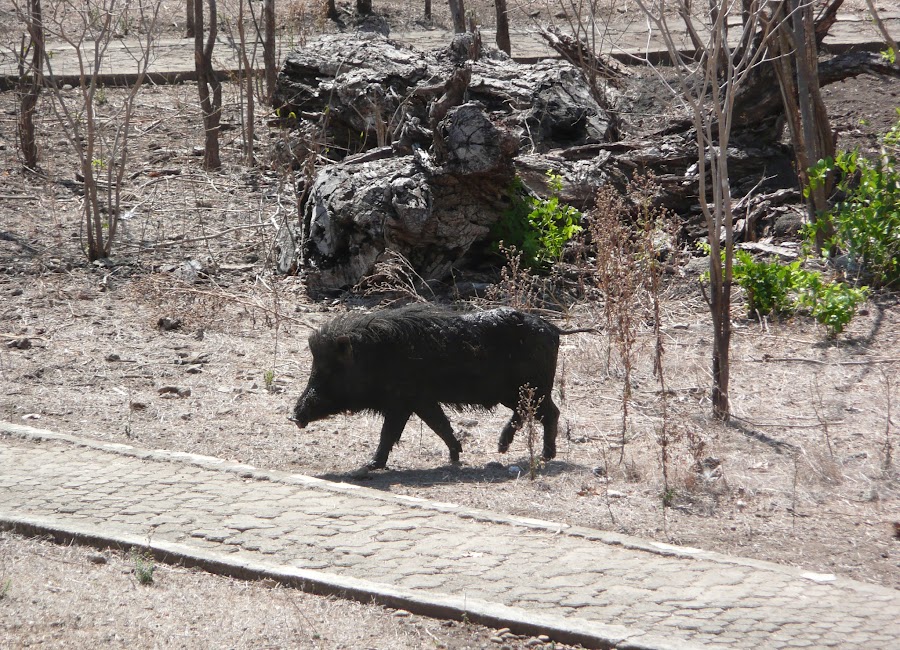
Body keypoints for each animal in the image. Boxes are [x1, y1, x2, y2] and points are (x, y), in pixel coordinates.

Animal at [292, 304, 580, 466]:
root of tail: (553, 329)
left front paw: (370, 465)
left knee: (546, 413)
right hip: (521, 391)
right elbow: (440, 425)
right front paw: (455, 457)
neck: (375, 357)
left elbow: (389, 433)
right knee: (539, 412)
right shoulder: (423, 401)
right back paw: (520, 452)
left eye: (329, 370)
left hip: (530, 387)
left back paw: (528, 453)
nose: (293, 416)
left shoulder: (402, 402)